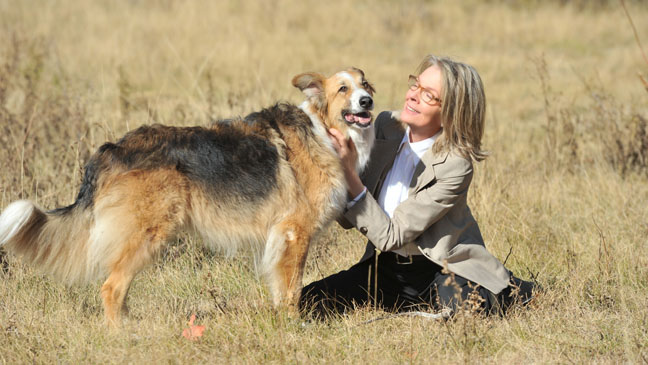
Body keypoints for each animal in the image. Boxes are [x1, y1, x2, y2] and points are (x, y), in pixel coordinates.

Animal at [0, 67, 374, 326]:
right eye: (343, 89)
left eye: (365, 84)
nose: (367, 101)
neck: (322, 129)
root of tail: (111, 150)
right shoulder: (294, 234)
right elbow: (292, 289)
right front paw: (294, 326)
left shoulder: (281, 239)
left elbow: (281, 289)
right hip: (148, 234)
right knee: (111, 287)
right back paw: (122, 334)